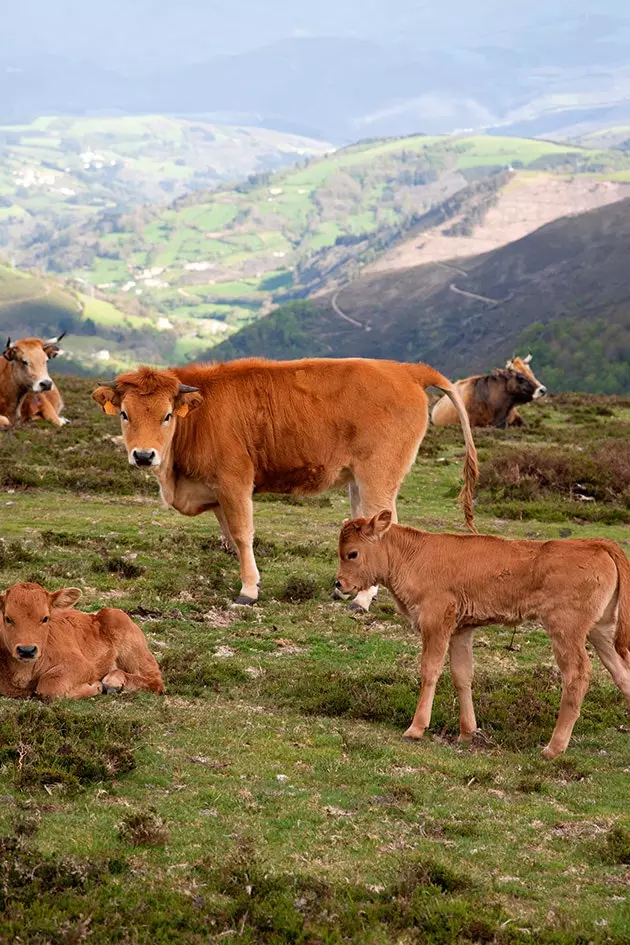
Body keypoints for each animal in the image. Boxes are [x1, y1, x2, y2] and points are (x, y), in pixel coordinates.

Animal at [0, 580, 165, 696]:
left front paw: (95, 687)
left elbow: (50, 686)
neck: (24, 671)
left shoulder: (82, 666)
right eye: (8, 618)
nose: (26, 650)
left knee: (155, 681)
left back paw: (113, 682)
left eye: (45, 618)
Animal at [92, 358, 478, 608]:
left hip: (377, 475)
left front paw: (248, 590)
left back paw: (363, 599)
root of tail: (406, 369)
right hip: (357, 478)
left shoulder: (235, 480)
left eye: (167, 415)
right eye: (124, 414)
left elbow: (242, 533)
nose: (144, 455)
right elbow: (228, 535)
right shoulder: (216, 490)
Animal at [338, 512, 630, 756]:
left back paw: (553, 748)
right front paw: (467, 732)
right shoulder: (461, 630)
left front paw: (416, 728)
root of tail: (596, 544)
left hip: (566, 630)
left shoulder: (435, 622)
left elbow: (430, 670)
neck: (413, 554)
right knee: (622, 673)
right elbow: (462, 675)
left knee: (577, 675)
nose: (339, 583)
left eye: (352, 553)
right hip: (602, 632)